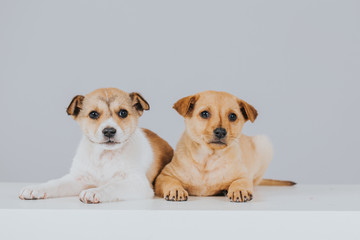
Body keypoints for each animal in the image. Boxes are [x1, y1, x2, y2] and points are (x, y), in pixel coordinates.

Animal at [19, 87, 174, 203]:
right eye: (93, 114)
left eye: (123, 113)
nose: (109, 131)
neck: (104, 156)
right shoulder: (78, 178)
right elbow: (56, 183)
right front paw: (37, 189)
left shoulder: (138, 183)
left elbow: (112, 186)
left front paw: (94, 191)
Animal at [154, 91, 292, 202]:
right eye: (204, 114)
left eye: (233, 116)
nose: (220, 132)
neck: (208, 158)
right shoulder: (164, 176)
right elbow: (171, 182)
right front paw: (175, 190)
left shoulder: (244, 176)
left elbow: (240, 182)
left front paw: (239, 190)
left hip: (264, 143)